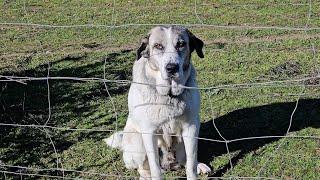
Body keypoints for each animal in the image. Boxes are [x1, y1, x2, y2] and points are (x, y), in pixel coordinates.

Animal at [104, 26, 211, 179]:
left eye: (181, 44)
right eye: (158, 46)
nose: (171, 68)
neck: (169, 96)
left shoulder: (191, 127)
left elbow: (191, 163)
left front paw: (194, 170)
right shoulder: (149, 132)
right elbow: (155, 166)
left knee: (186, 160)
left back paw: (199, 165)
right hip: (138, 141)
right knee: (142, 168)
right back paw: (147, 175)